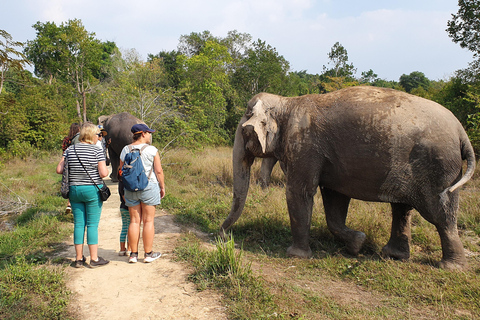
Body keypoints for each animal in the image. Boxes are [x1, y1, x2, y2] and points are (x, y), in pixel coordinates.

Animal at [222, 85, 476, 270]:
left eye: (244, 131)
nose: (223, 234)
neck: (287, 102)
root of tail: (461, 131)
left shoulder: (304, 147)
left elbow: (299, 192)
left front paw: (296, 255)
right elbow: (334, 201)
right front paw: (357, 244)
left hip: (438, 168)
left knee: (440, 214)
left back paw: (450, 267)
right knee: (402, 208)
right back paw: (393, 255)